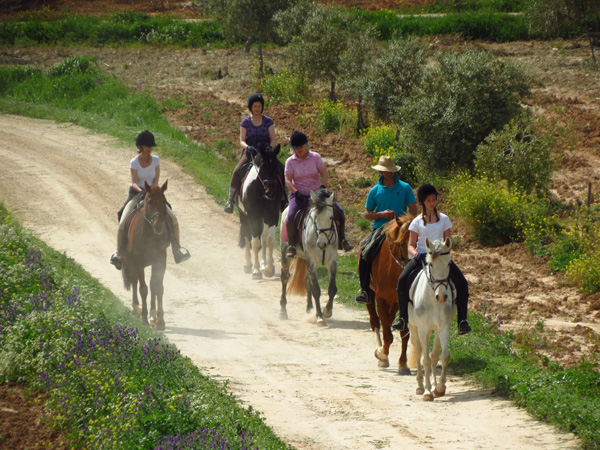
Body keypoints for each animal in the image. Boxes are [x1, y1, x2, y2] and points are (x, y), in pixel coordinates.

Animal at [120, 179, 170, 330]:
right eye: (149, 201)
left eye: (164, 201)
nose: (158, 225)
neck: (149, 234)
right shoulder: (138, 261)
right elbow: (143, 289)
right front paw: (144, 318)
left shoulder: (160, 260)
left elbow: (157, 287)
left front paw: (160, 320)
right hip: (131, 261)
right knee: (135, 281)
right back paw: (136, 308)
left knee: (151, 284)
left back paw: (152, 315)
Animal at [239, 144, 284, 280]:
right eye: (263, 166)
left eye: (276, 166)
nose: (271, 192)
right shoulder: (253, 216)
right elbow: (254, 242)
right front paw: (256, 271)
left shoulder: (273, 215)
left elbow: (269, 240)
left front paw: (269, 269)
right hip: (244, 215)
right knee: (247, 235)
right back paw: (248, 265)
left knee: (263, 237)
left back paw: (264, 264)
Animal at [282, 188, 338, 326]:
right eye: (315, 217)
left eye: (331, 217)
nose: (322, 244)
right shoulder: (312, 261)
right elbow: (316, 289)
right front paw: (319, 316)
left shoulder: (332, 261)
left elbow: (332, 288)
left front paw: (327, 311)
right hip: (286, 253)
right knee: (284, 278)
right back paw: (283, 311)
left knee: (307, 281)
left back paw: (309, 308)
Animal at [358, 213, 414, 374]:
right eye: (401, 244)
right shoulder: (381, 298)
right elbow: (388, 335)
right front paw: (381, 354)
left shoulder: (402, 302)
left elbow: (404, 334)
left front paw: (403, 364)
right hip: (370, 294)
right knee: (375, 321)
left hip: (393, 302)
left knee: (387, 320)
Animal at [406, 237, 458, 402]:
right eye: (431, 265)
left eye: (448, 264)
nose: (441, 297)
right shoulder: (422, 328)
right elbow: (426, 359)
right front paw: (428, 392)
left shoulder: (443, 327)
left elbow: (443, 356)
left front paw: (439, 388)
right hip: (413, 326)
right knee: (418, 353)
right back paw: (420, 386)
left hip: (434, 329)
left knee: (434, 355)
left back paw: (435, 386)